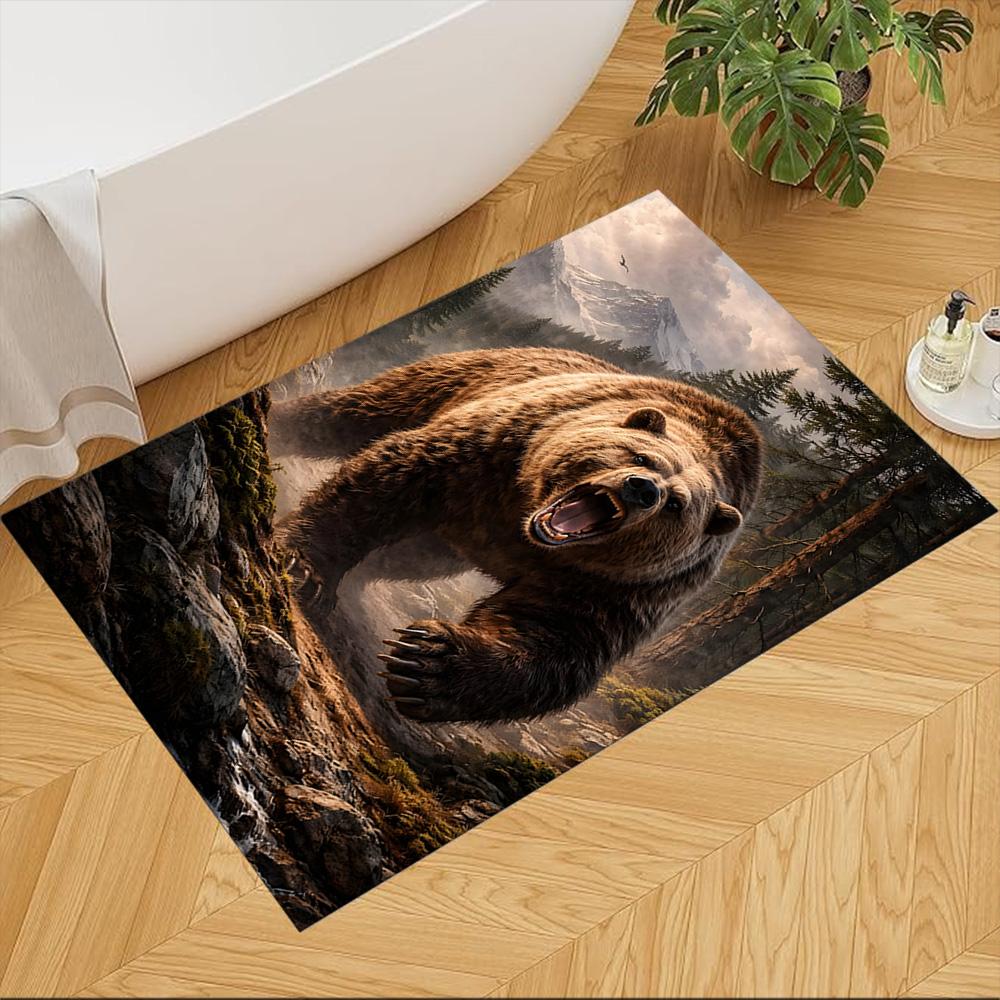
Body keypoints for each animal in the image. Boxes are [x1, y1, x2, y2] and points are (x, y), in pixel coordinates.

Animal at [271, 347, 763, 724]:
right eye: (642, 457)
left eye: (677, 504)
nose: (642, 489)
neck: (522, 523)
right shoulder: (502, 444)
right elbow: (392, 477)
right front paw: (305, 568)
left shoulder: (627, 586)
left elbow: (554, 635)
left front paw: (425, 662)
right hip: (461, 378)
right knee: (349, 413)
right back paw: (280, 417)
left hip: (441, 546)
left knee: (406, 559)